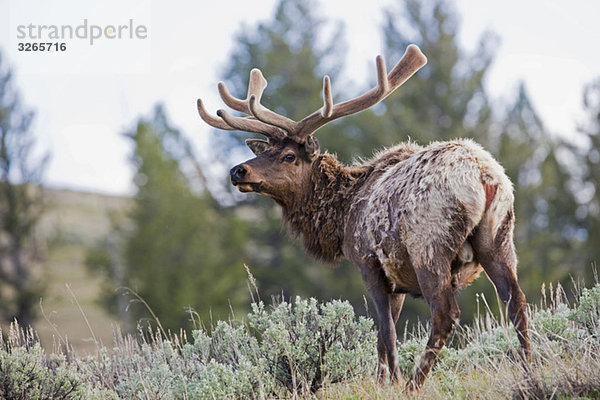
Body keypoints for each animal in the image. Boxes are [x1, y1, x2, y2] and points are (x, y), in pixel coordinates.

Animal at [197, 44, 528, 390]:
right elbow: (384, 335)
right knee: (516, 300)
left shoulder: (368, 262)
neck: (342, 218)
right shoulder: (397, 279)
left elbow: (386, 332)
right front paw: (383, 381)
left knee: (445, 313)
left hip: (429, 246)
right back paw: (528, 369)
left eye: (288, 156)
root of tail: (483, 176)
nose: (238, 171)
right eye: (265, 151)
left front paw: (392, 381)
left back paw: (413, 384)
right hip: (500, 237)